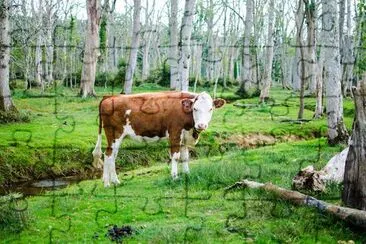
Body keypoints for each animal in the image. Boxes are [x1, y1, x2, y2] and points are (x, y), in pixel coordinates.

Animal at [91, 91, 226, 187]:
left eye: (210, 109)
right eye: (195, 109)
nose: (201, 125)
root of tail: (110, 97)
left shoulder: (184, 139)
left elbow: (185, 157)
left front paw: (187, 174)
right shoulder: (174, 134)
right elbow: (175, 157)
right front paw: (174, 177)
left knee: (111, 156)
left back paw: (111, 181)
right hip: (114, 134)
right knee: (108, 155)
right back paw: (110, 183)